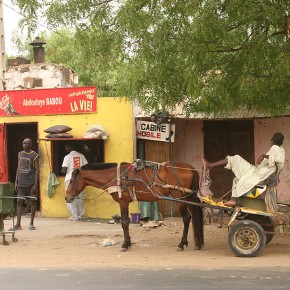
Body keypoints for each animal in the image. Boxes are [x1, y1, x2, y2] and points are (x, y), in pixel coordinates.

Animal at [65, 160, 204, 250]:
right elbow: (126, 222)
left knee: (186, 218)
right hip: (187, 197)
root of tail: (190, 168)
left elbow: (124, 222)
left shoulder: (123, 202)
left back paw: (181, 244)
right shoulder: (125, 202)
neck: (115, 177)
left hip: (179, 197)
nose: (67, 197)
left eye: (71, 181)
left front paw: (125, 244)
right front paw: (129, 242)